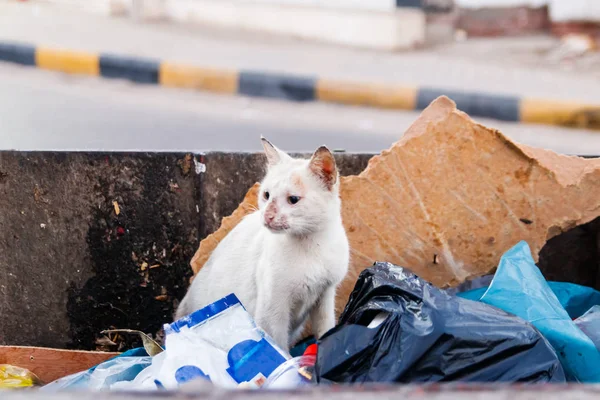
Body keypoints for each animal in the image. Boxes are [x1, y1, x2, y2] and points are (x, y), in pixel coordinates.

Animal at [176, 138, 350, 350]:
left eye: (293, 199)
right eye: (266, 195)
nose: (267, 215)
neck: (309, 245)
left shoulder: (324, 296)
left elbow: (325, 330)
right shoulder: (273, 309)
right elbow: (279, 346)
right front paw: (287, 359)